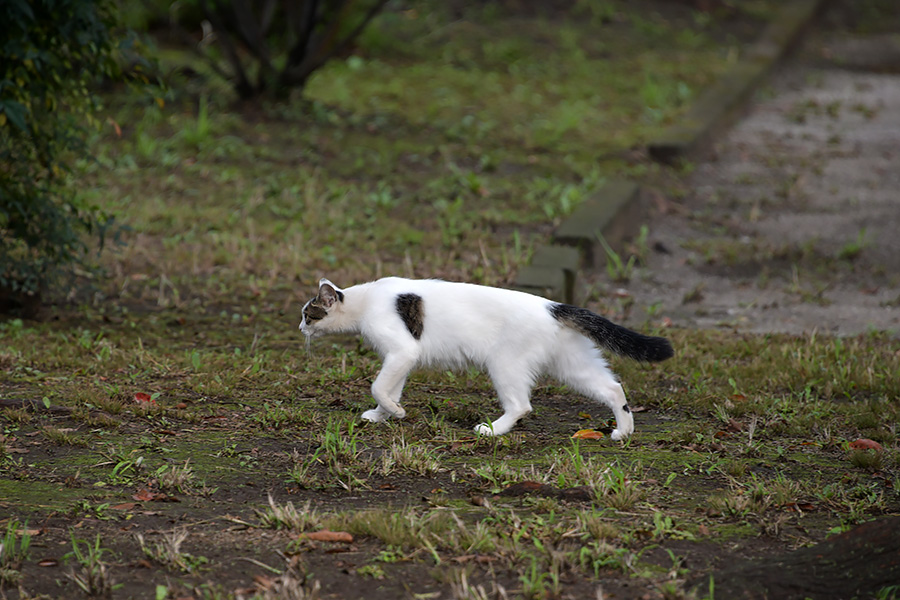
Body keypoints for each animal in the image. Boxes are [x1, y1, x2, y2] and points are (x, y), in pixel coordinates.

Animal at [298, 278, 672, 440]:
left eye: (308, 315)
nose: (300, 327)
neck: (366, 300)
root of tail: (553, 306)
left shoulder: (403, 350)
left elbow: (378, 387)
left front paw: (396, 412)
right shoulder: (400, 358)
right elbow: (390, 389)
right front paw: (382, 415)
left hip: (504, 364)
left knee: (521, 405)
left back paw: (491, 430)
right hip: (573, 365)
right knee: (614, 388)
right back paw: (623, 432)